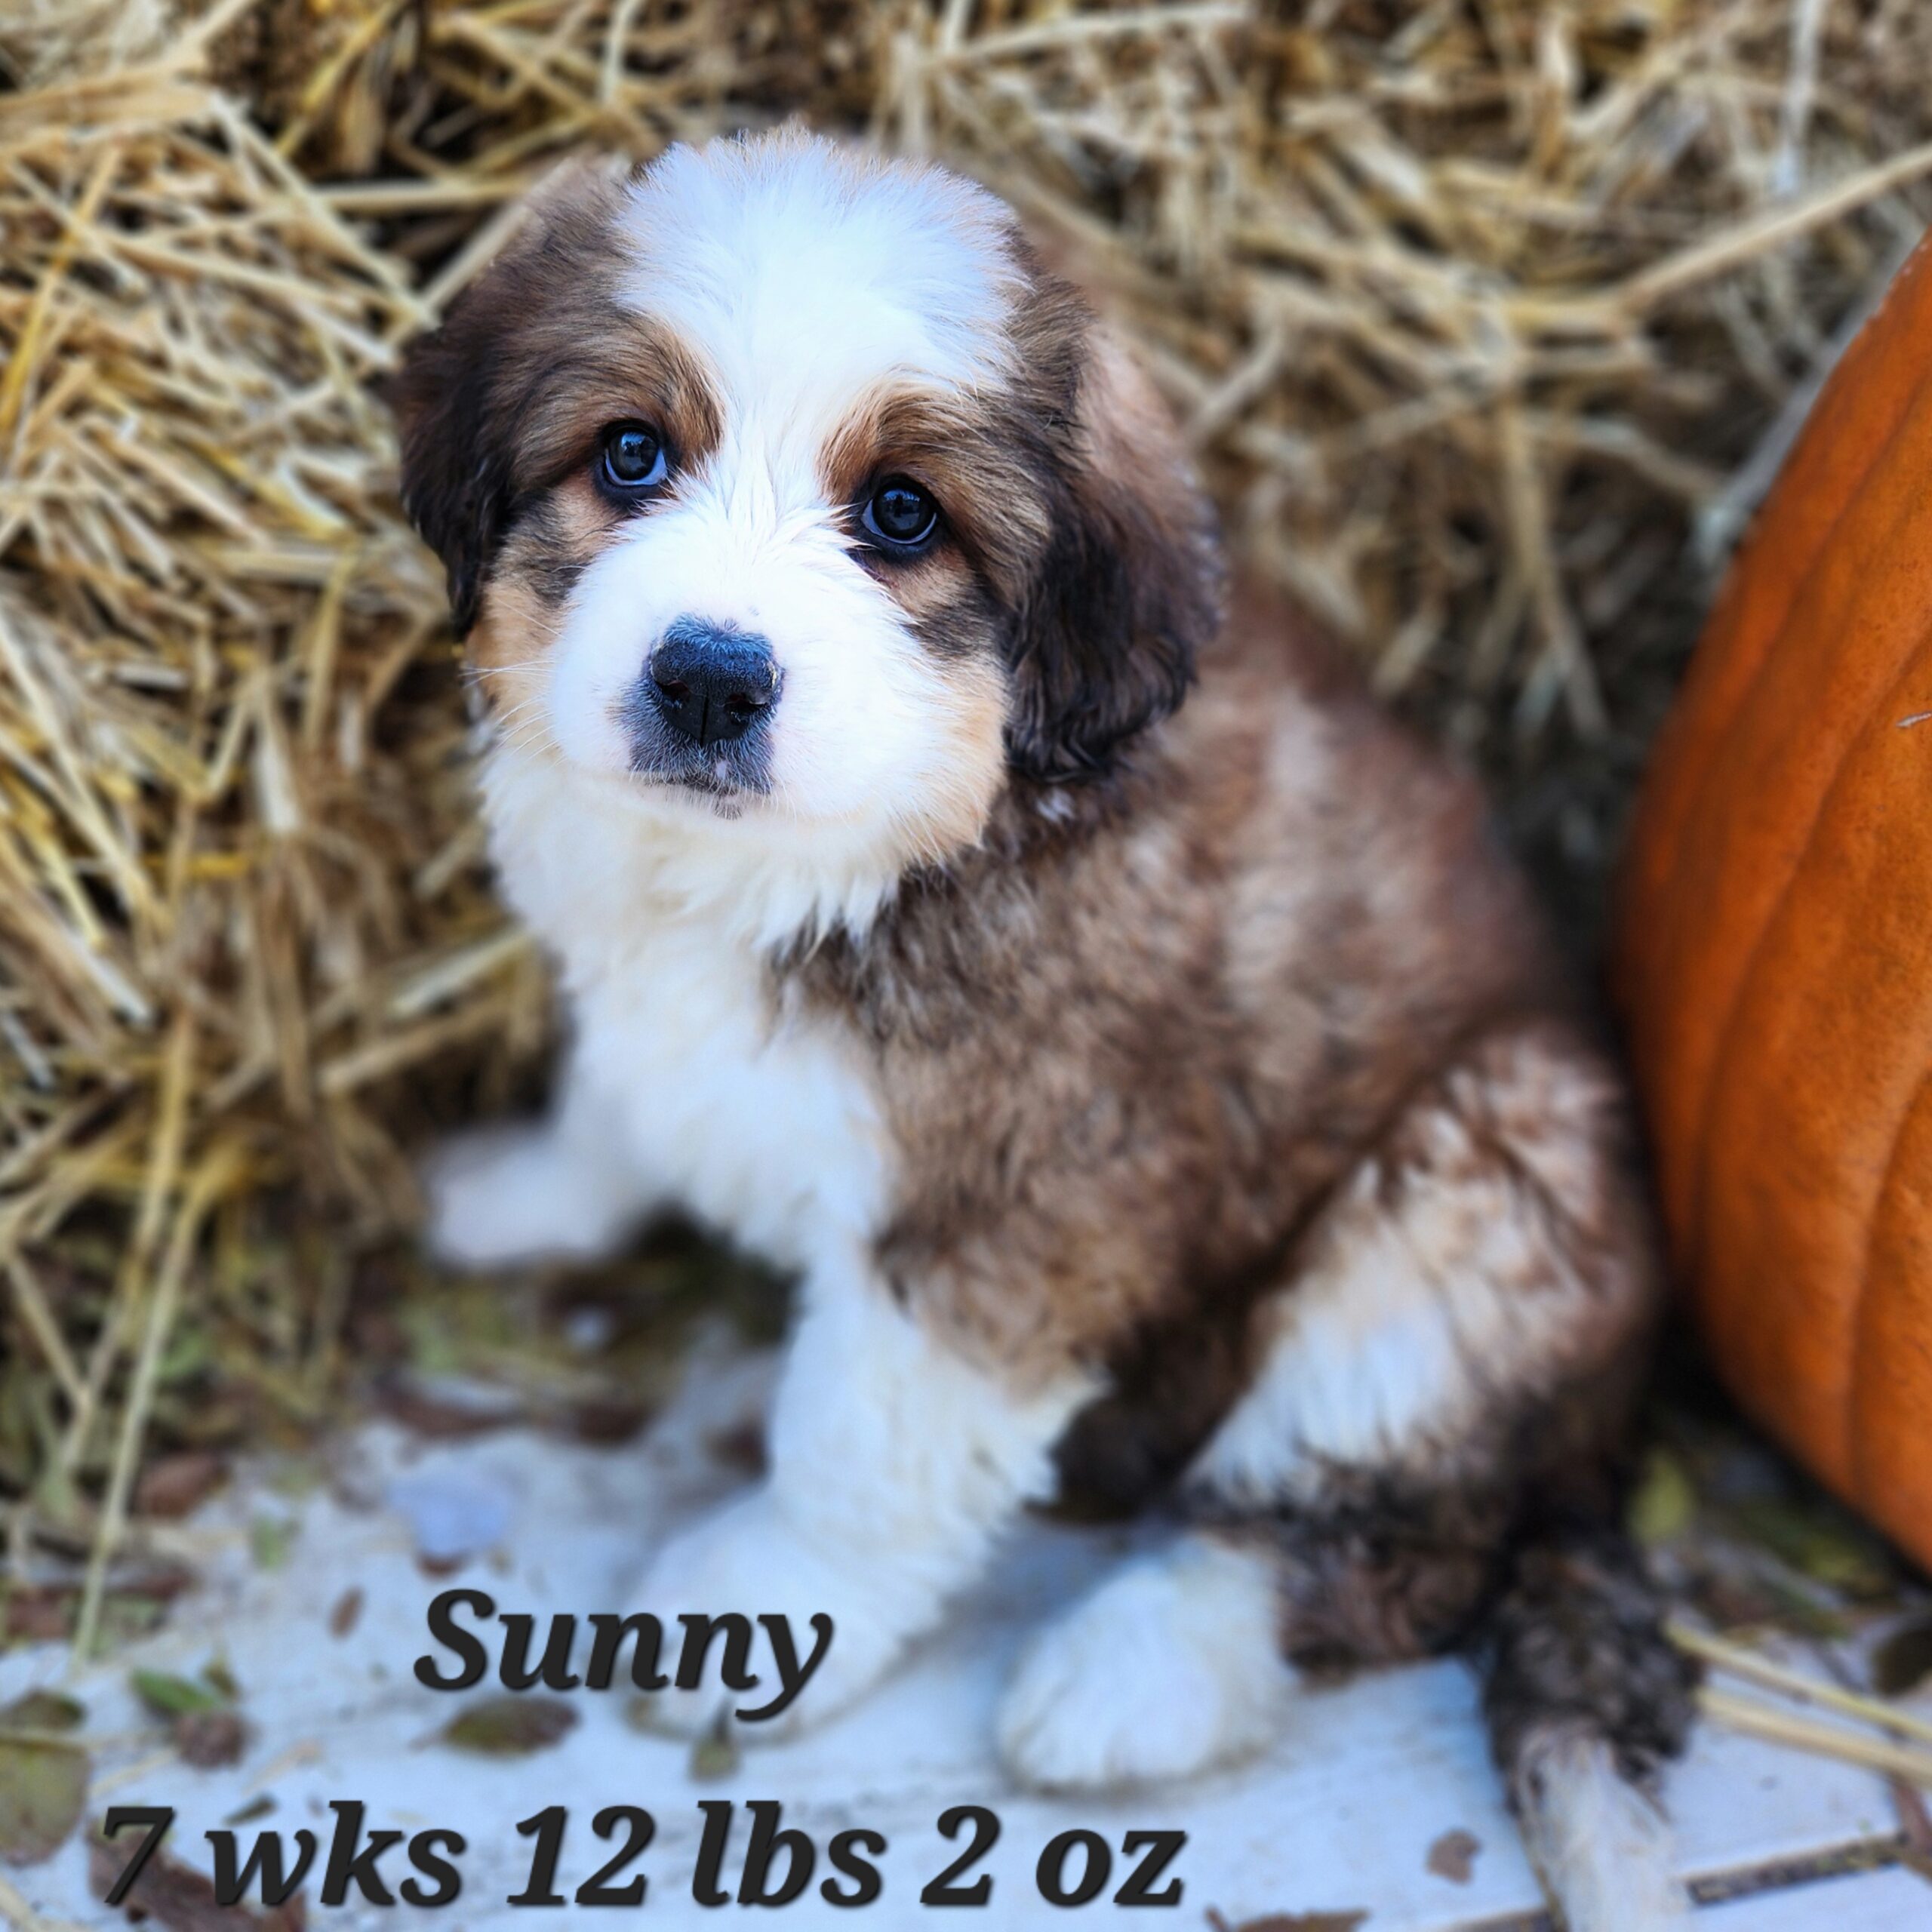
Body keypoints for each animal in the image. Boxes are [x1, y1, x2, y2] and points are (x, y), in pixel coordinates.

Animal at [392, 128, 1692, 1924]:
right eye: (629, 454)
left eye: (900, 514)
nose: (708, 679)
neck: (867, 848)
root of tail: (1607, 1424)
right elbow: (616, 1094)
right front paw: (529, 1188)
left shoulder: (1024, 1198)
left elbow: (861, 1437)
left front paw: (763, 1606)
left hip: (1482, 1194)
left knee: (1369, 1537)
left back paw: (1134, 1674)